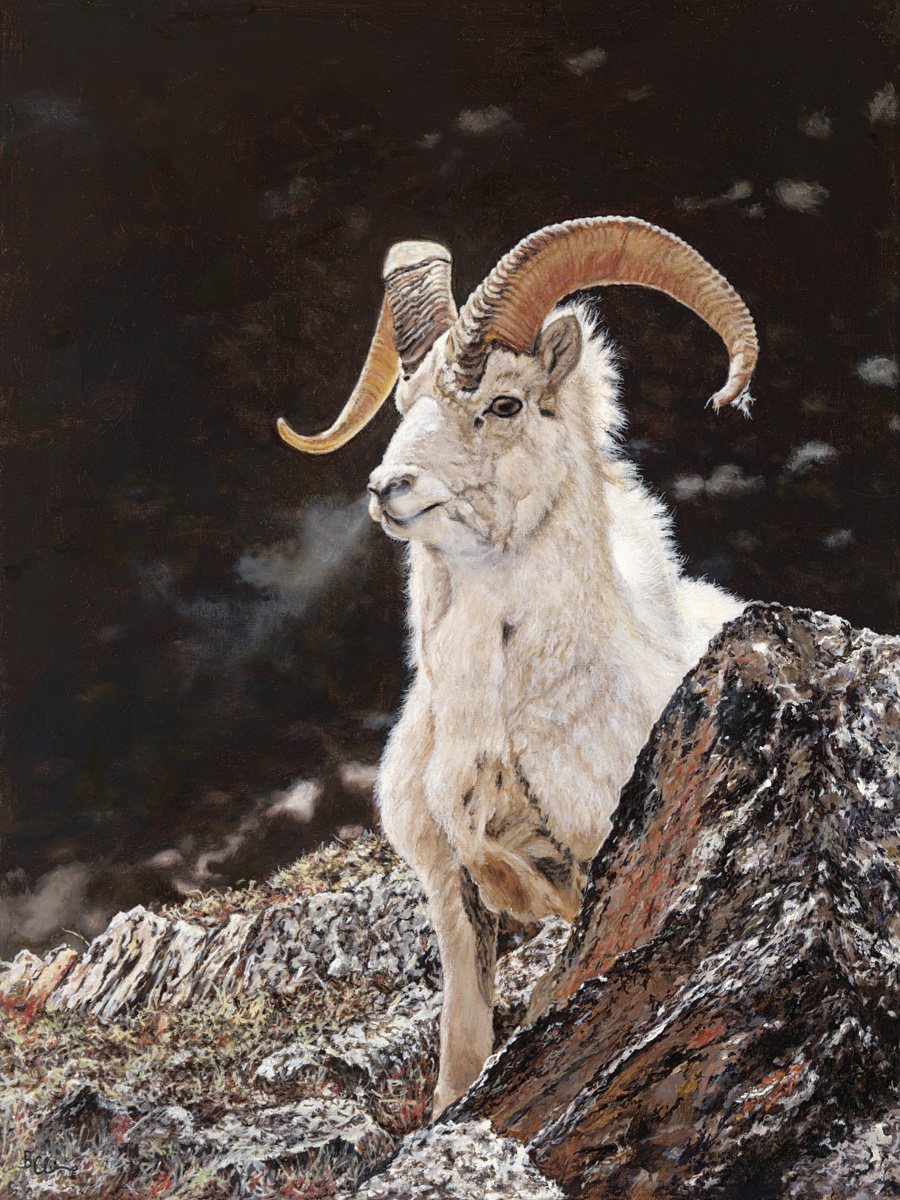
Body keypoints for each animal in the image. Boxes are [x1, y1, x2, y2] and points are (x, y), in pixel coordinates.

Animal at [277, 216, 758, 1115]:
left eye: (503, 403)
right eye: (404, 407)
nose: (388, 487)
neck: (493, 722)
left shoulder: (591, 873)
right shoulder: (456, 892)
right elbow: (464, 1047)